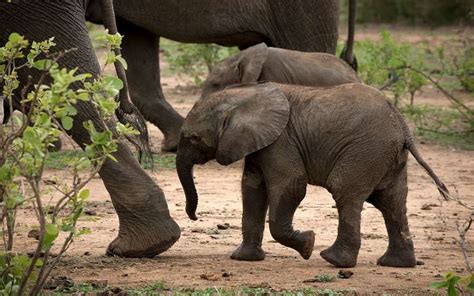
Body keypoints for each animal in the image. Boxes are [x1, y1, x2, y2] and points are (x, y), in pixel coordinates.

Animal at [176, 82, 446, 268]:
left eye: (194, 138)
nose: (195, 217)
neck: (242, 95)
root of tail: (403, 126)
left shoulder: (281, 141)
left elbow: (291, 186)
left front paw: (308, 244)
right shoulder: (259, 144)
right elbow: (252, 191)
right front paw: (243, 259)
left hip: (366, 150)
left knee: (345, 191)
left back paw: (333, 260)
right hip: (388, 156)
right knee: (391, 202)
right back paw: (395, 264)